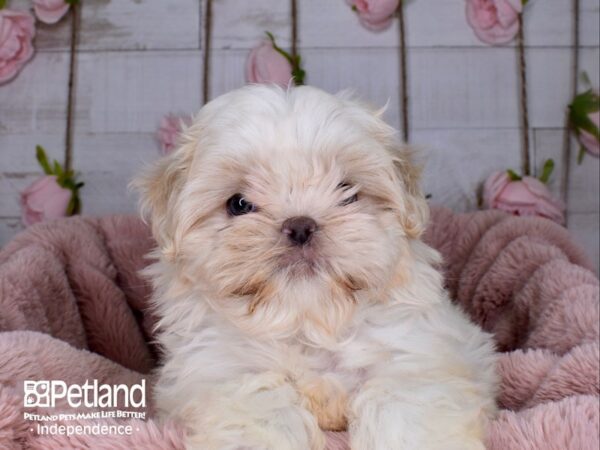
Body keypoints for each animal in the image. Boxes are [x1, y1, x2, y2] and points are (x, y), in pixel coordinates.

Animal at [134, 85, 500, 450]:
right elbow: (259, 405)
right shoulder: (224, 369)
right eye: (238, 204)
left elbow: (403, 406)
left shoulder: (414, 358)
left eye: (347, 191)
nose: (300, 226)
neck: (308, 323)